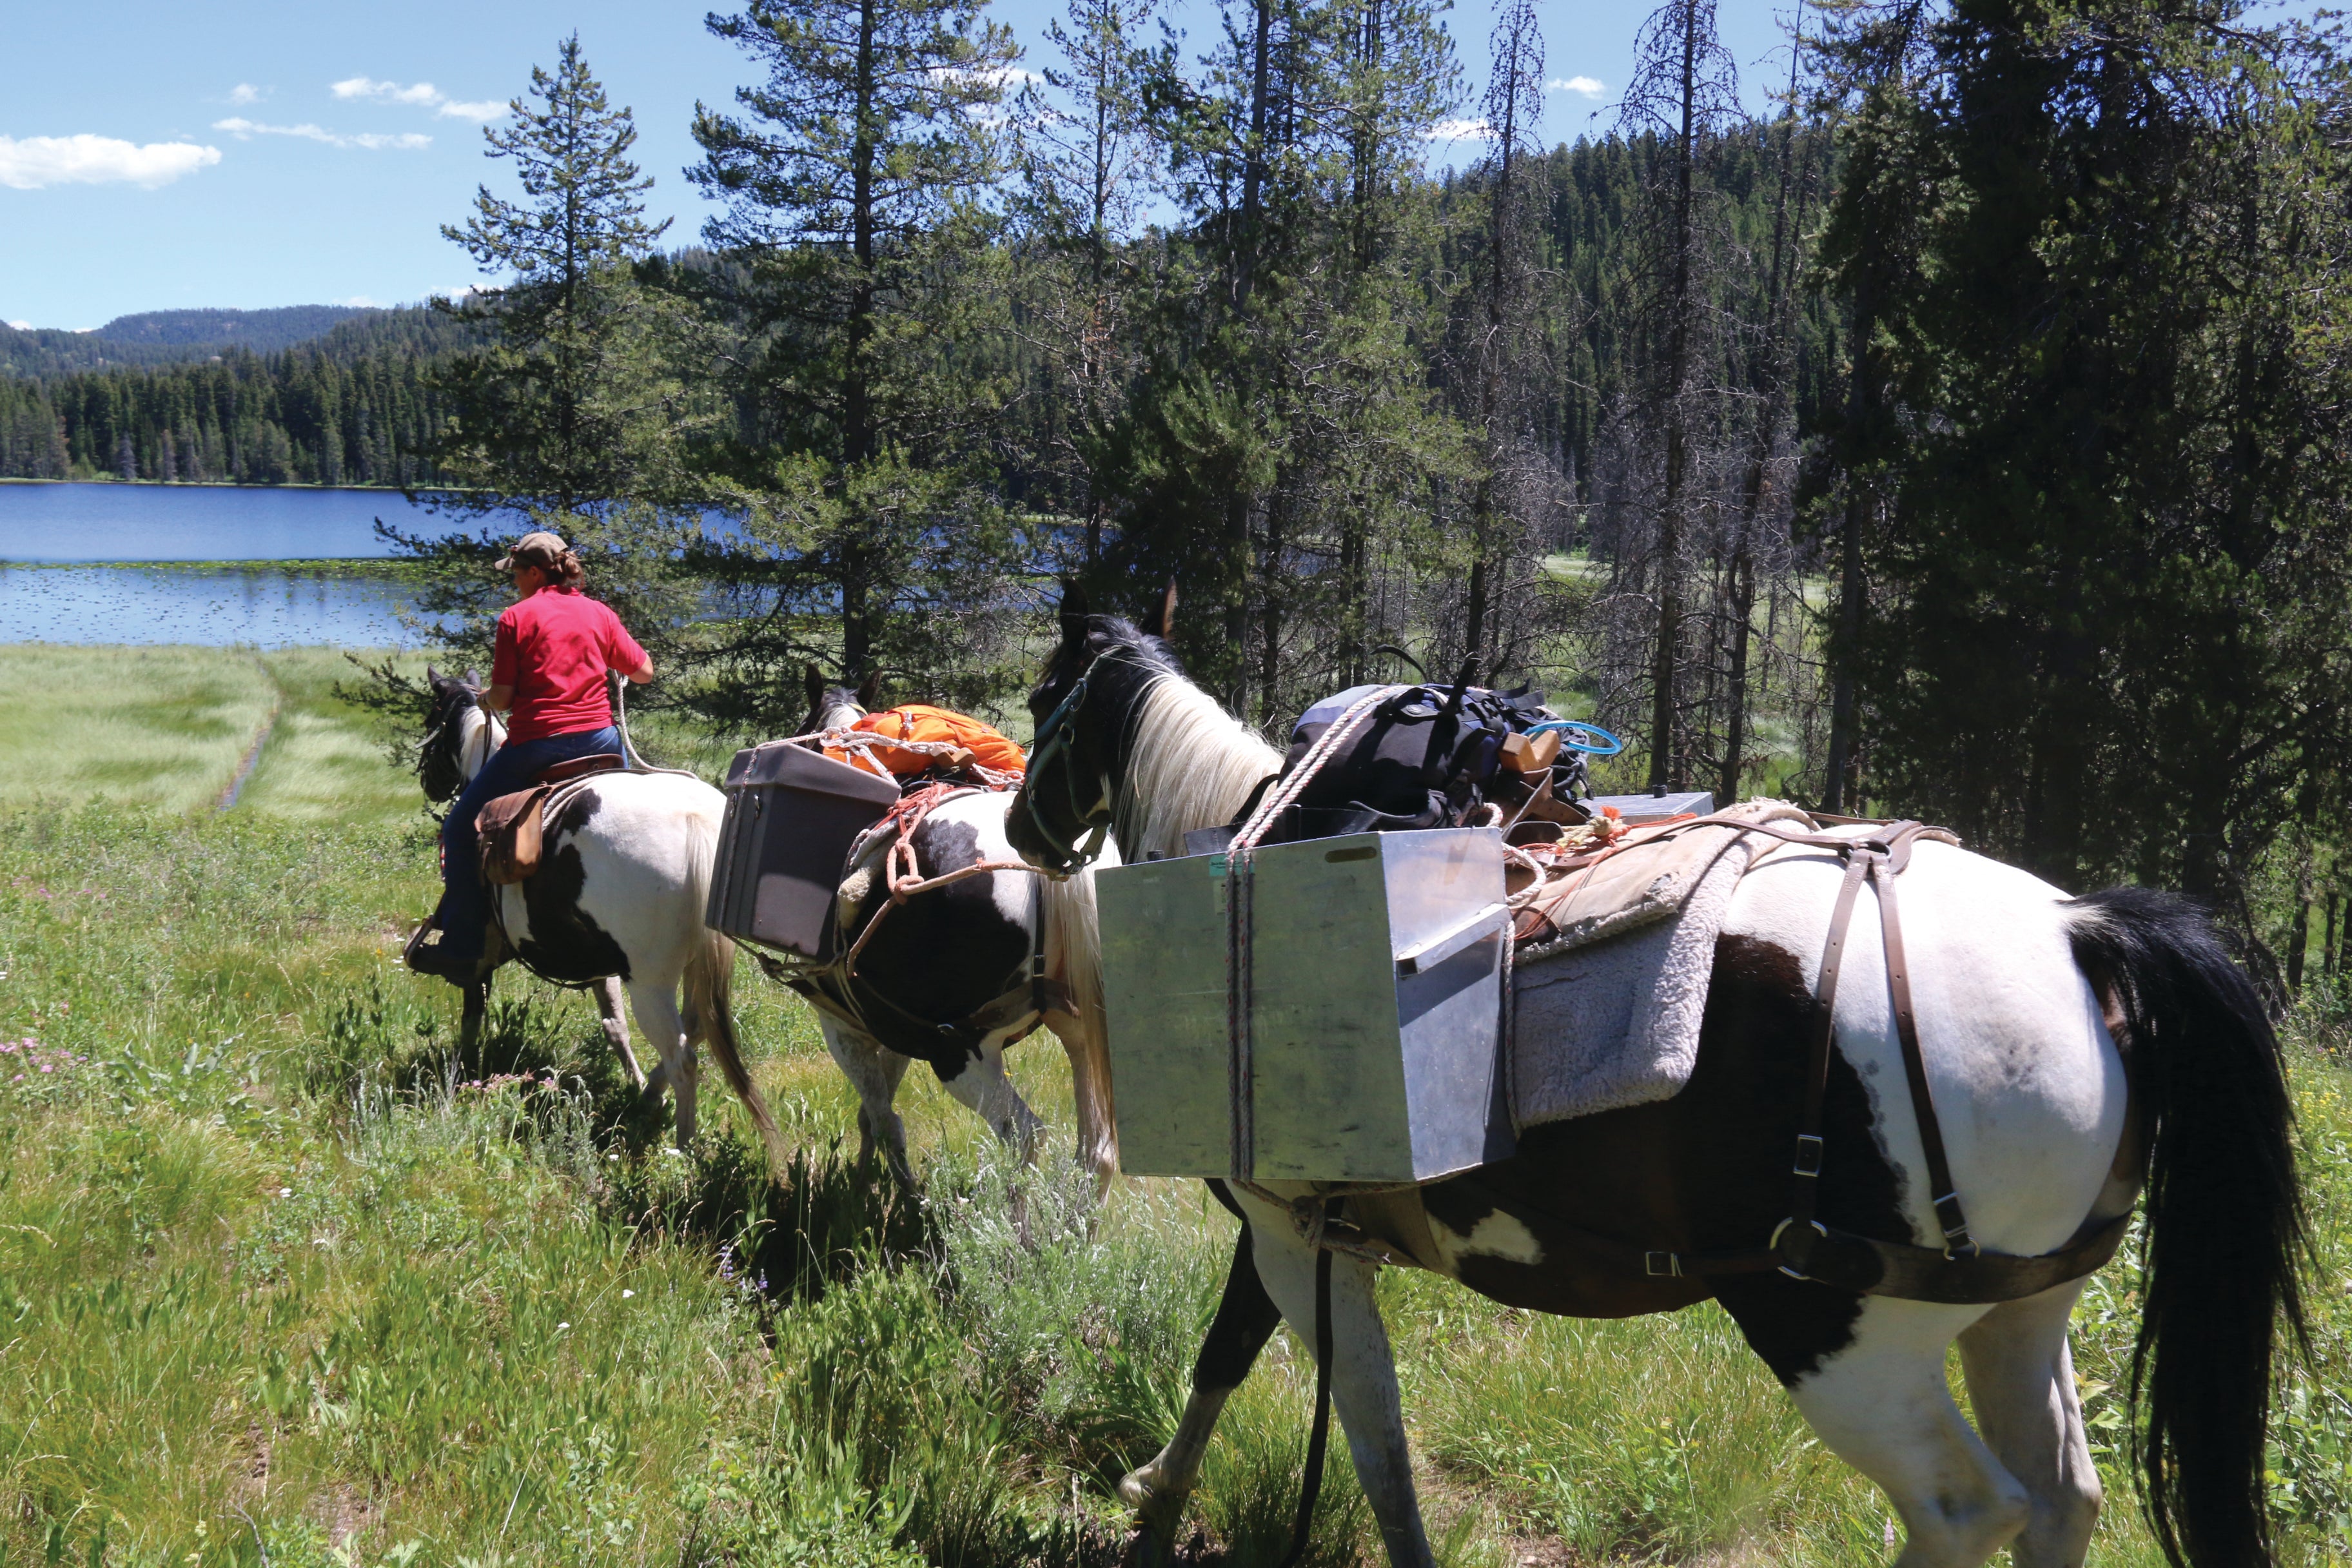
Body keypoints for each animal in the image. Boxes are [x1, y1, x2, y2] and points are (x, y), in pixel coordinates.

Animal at [417, 670, 785, 1164]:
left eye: (433, 720)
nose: (429, 781)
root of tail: (696, 820)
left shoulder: (482, 957)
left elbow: (472, 1014)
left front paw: (460, 1077)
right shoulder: (599, 962)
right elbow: (614, 1025)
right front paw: (634, 1081)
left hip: (649, 980)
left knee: (684, 1057)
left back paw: (682, 1148)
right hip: (693, 964)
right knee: (697, 1029)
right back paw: (650, 1097)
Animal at [776, 669, 1116, 1188]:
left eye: (805, 728)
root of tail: (1057, 871)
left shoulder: (842, 1023)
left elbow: (882, 1118)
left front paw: (894, 1194)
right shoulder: (891, 1022)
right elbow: (876, 1111)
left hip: (959, 1051)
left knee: (1025, 1135)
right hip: (1084, 1031)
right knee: (1098, 1153)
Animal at [1003, 589, 2306, 1568]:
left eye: (1040, 697)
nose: (1019, 825)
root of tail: (2082, 934)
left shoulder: (1290, 1230)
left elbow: (1361, 1434)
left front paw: (1157, 1506)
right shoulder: (1299, 1231)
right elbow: (1234, 1358)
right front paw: (1153, 1494)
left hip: (1835, 1333)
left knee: (1963, 1512)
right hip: (2022, 1315)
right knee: (2062, 1500)